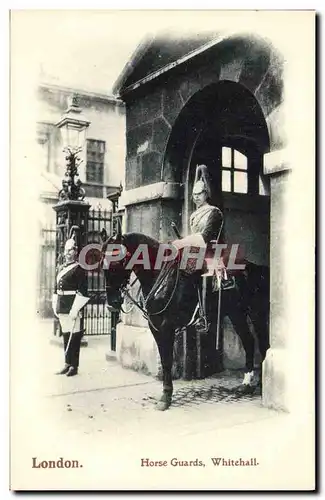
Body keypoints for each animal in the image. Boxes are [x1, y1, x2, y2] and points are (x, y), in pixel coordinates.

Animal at [100, 230, 270, 410]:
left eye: (119, 260)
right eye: (102, 261)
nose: (112, 303)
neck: (159, 274)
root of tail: (259, 269)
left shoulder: (166, 327)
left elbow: (167, 360)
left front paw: (166, 397)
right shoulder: (156, 327)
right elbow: (164, 359)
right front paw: (166, 394)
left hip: (256, 314)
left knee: (262, 343)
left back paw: (260, 385)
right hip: (236, 313)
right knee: (249, 341)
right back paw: (246, 384)